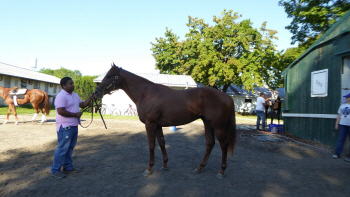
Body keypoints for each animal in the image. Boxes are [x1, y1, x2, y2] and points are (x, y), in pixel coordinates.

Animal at [95, 63, 238, 179]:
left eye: (108, 76)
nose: (96, 92)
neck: (146, 93)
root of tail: (227, 97)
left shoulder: (150, 124)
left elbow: (151, 145)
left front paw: (149, 168)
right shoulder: (157, 126)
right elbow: (162, 143)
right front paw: (164, 165)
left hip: (218, 127)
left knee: (224, 145)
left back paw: (221, 172)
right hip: (207, 123)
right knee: (210, 143)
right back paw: (199, 168)